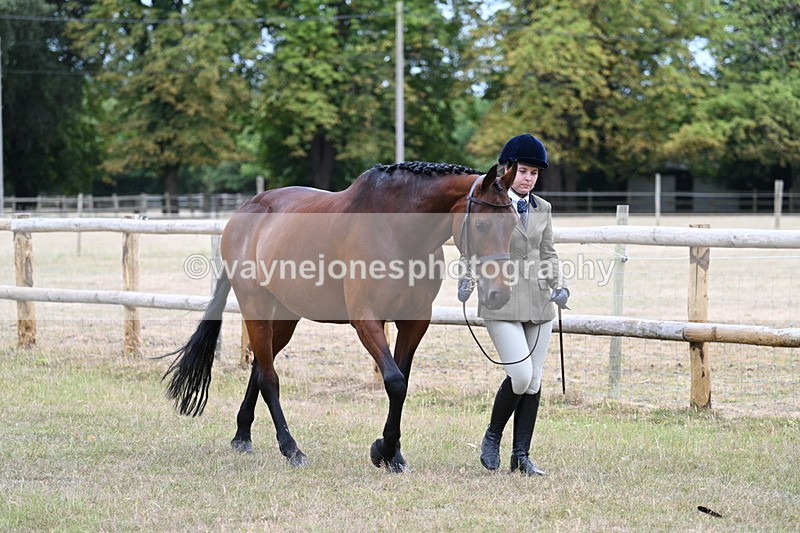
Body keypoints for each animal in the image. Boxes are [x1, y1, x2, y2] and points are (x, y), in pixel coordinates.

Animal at [164, 161, 519, 473]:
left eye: (514, 224)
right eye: (481, 224)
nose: (499, 294)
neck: (396, 231)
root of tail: (244, 212)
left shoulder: (415, 322)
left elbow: (402, 381)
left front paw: (392, 454)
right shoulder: (367, 321)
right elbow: (394, 382)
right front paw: (384, 450)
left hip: (287, 315)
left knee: (260, 367)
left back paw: (242, 436)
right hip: (255, 306)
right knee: (269, 378)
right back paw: (292, 449)